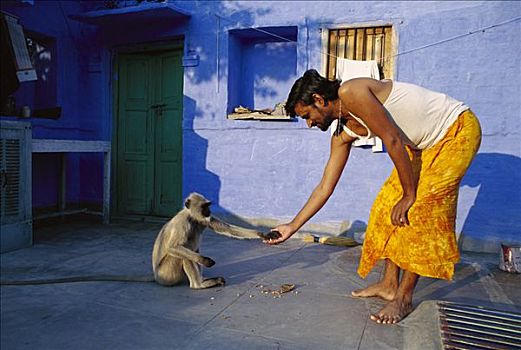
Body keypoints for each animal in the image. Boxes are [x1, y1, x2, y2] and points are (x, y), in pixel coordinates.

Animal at [1, 191, 280, 288]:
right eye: (206, 206)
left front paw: (264, 233)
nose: (209, 210)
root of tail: (155, 276)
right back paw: (200, 284)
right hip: (167, 272)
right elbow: (175, 247)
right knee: (183, 254)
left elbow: (226, 229)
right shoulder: (185, 222)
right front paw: (205, 260)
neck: (192, 217)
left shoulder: (201, 220)